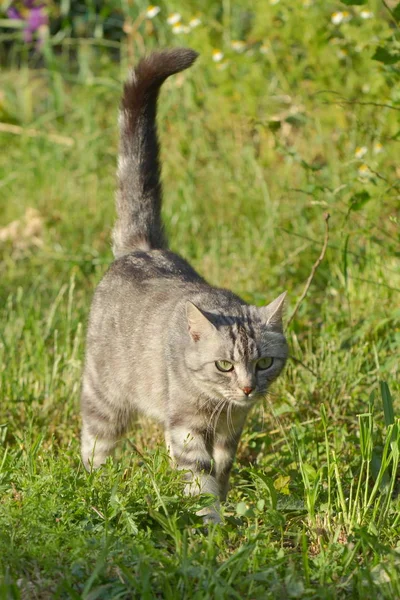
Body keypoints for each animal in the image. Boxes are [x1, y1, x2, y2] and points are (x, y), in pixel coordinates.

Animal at [81, 49, 288, 524]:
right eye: (224, 365)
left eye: (264, 362)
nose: (247, 388)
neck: (219, 406)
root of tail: (144, 248)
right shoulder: (186, 426)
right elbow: (199, 476)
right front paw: (210, 523)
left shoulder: (232, 428)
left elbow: (223, 468)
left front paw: (226, 507)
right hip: (104, 394)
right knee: (94, 443)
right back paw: (94, 487)